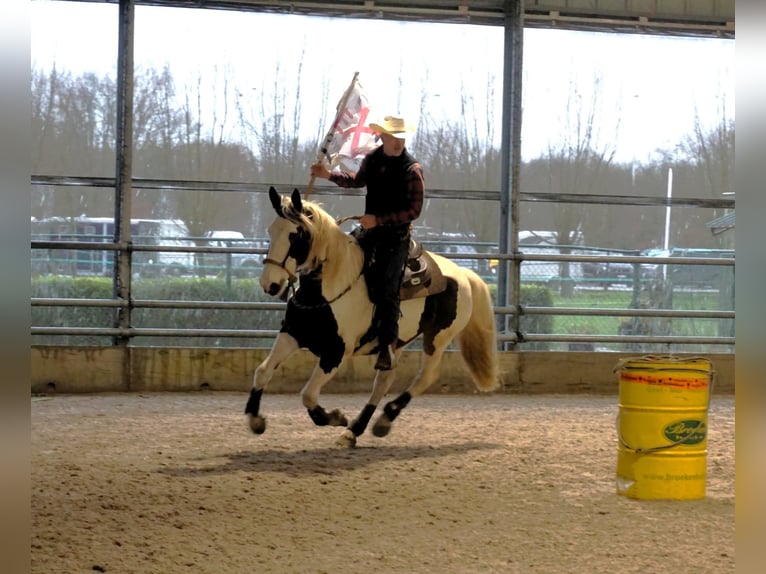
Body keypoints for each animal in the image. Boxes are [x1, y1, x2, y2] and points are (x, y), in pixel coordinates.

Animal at [244, 186, 499, 447]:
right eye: (271, 230)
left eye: (295, 236)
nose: (270, 284)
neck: (329, 288)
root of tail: (464, 273)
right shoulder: (292, 335)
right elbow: (262, 372)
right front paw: (256, 420)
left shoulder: (336, 352)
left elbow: (308, 395)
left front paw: (335, 417)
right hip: (395, 342)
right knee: (384, 381)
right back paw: (356, 430)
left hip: (438, 338)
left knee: (425, 377)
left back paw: (384, 417)